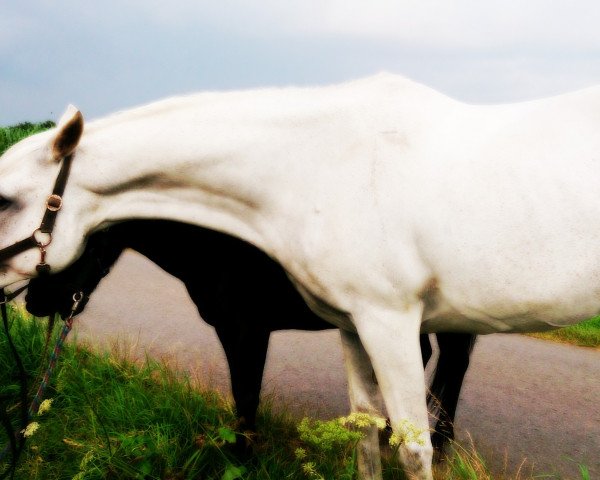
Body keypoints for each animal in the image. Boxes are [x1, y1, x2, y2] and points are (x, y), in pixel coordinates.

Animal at [1, 73, 600, 478]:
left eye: (6, 200)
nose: (32, 305)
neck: (318, 170)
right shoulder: (355, 326)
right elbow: (364, 434)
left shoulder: (371, 323)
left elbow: (406, 446)